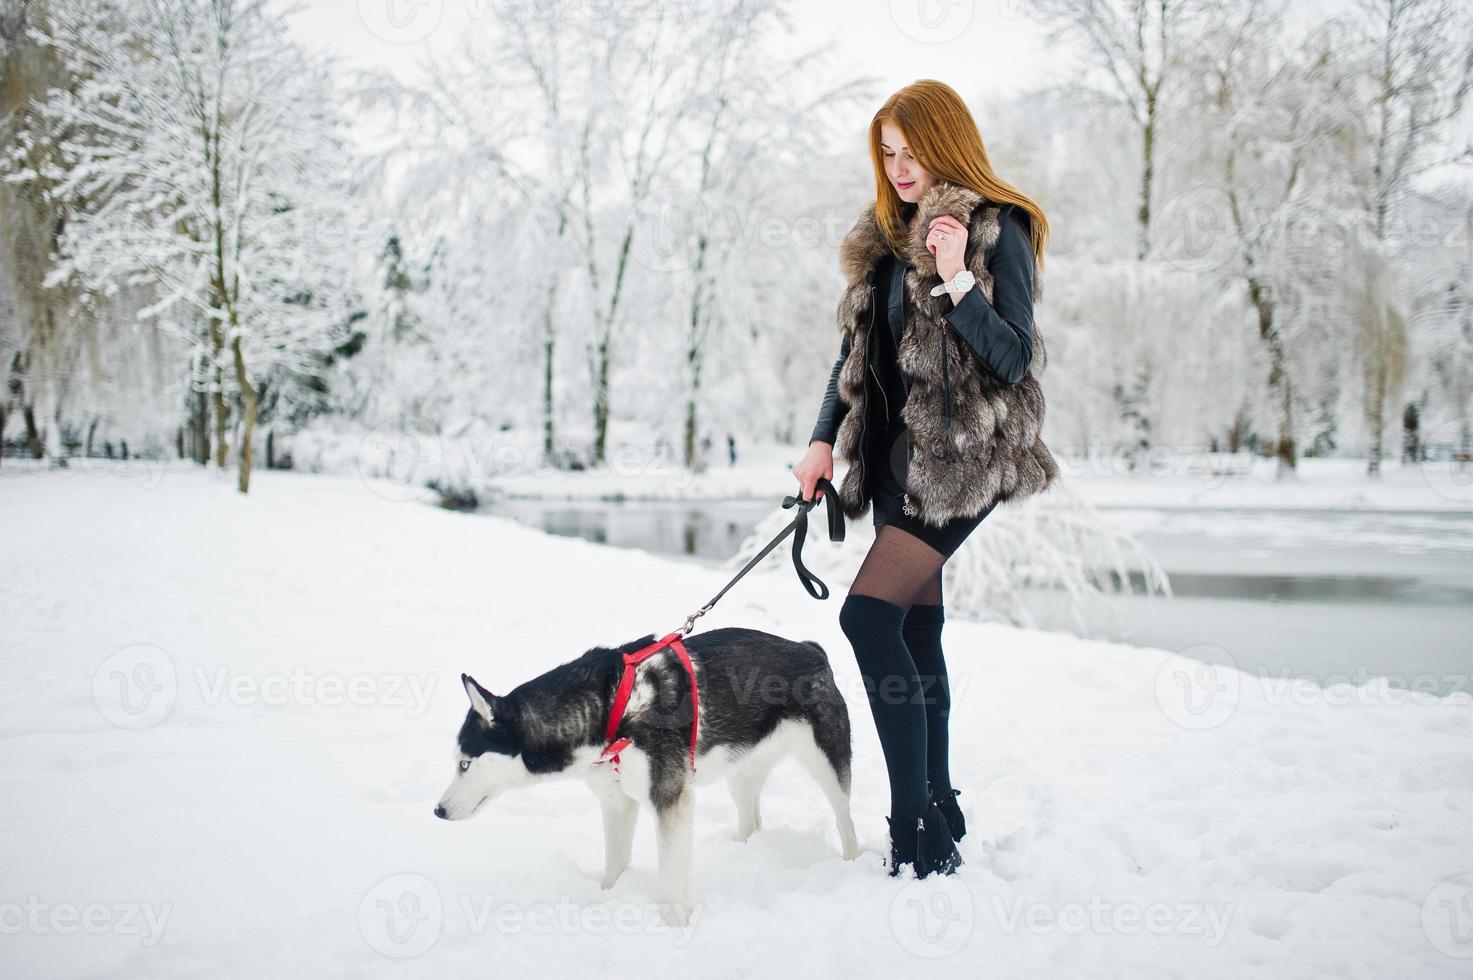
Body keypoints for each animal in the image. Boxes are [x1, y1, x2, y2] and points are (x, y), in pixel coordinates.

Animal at [430, 627, 860, 925]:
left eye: (465, 763)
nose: (437, 811)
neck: (610, 709)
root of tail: (808, 648)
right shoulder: (616, 803)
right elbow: (614, 866)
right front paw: (609, 900)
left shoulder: (671, 800)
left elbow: (669, 879)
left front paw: (673, 928)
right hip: (740, 770)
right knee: (751, 819)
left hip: (827, 763)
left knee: (845, 819)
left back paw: (852, 864)